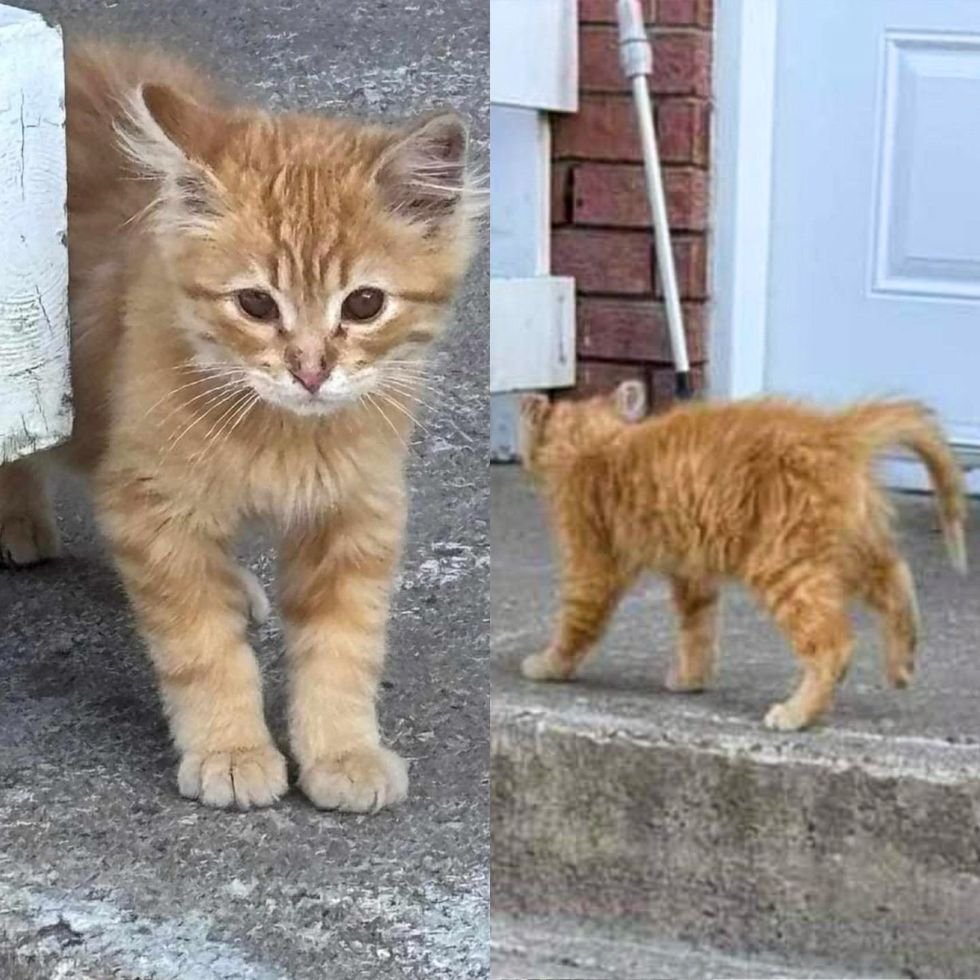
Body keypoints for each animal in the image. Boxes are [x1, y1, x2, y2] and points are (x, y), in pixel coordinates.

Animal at [0, 42, 478, 812]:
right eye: (255, 304)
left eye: (365, 304)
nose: (310, 371)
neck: (280, 437)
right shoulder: (151, 503)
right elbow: (202, 649)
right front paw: (232, 750)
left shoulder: (356, 512)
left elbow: (343, 651)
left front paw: (343, 753)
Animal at [520, 380, 964, 728]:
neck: (596, 443)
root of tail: (834, 432)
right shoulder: (693, 574)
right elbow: (697, 632)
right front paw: (692, 679)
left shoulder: (592, 566)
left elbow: (576, 625)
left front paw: (548, 665)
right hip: (845, 549)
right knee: (897, 578)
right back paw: (902, 664)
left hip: (785, 565)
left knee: (833, 644)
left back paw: (797, 713)